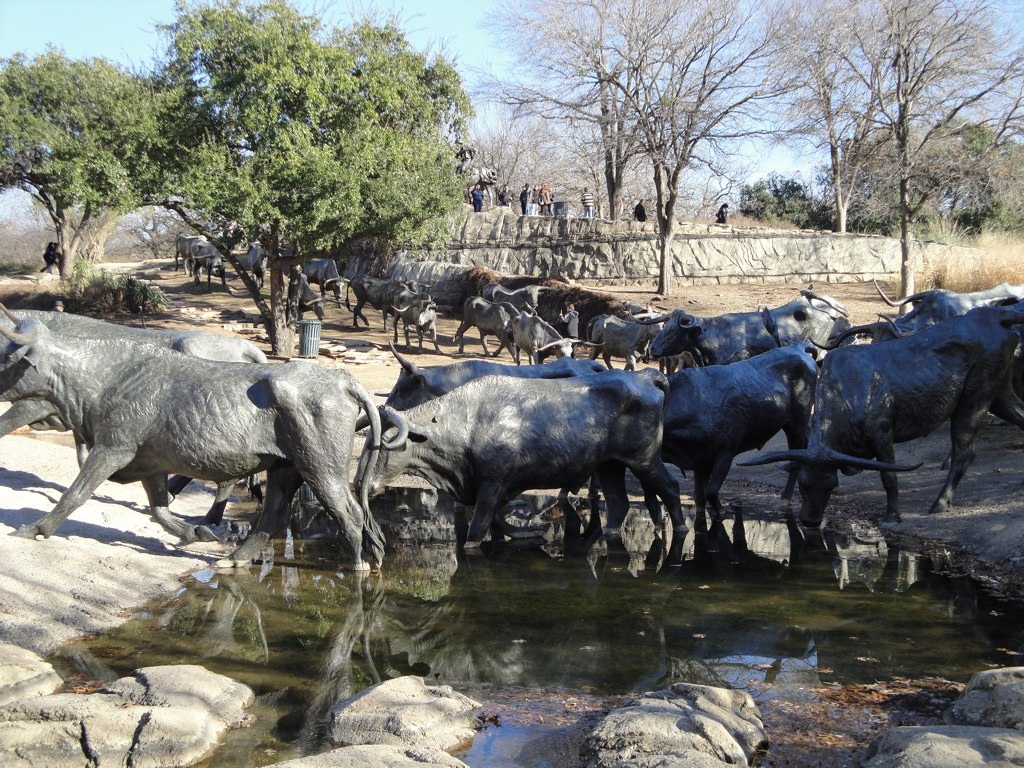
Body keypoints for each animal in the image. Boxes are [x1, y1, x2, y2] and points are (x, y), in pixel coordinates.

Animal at [0, 314, 393, 571]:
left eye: (7, 358)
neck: (106, 375)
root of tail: (341, 379)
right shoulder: (149, 464)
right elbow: (159, 511)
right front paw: (197, 532)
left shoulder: (113, 449)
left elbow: (75, 493)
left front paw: (35, 529)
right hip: (286, 468)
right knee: (273, 515)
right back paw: (234, 558)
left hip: (320, 467)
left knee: (349, 512)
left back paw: (359, 566)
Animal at [356, 369, 685, 547]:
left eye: (383, 446)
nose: (361, 483)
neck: (466, 422)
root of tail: (643, 375)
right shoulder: (494, 487)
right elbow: (498, 522)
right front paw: (530, 533)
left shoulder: (493, 483)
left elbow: (478, 529)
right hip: (609, 465)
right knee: (618, 504)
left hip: (644, 460)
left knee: (670, 488)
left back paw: (681, 529)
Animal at [741, 304, 1024, 527]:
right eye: (803, 483)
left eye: (832, 485)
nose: (810, 521)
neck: (846, 392)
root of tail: (996, 316)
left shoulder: (882, 433)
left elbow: (889, 477)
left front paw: (892, 516)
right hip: (1000, 393)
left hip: (975, 399)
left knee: (965, 452)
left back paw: (940, 503)